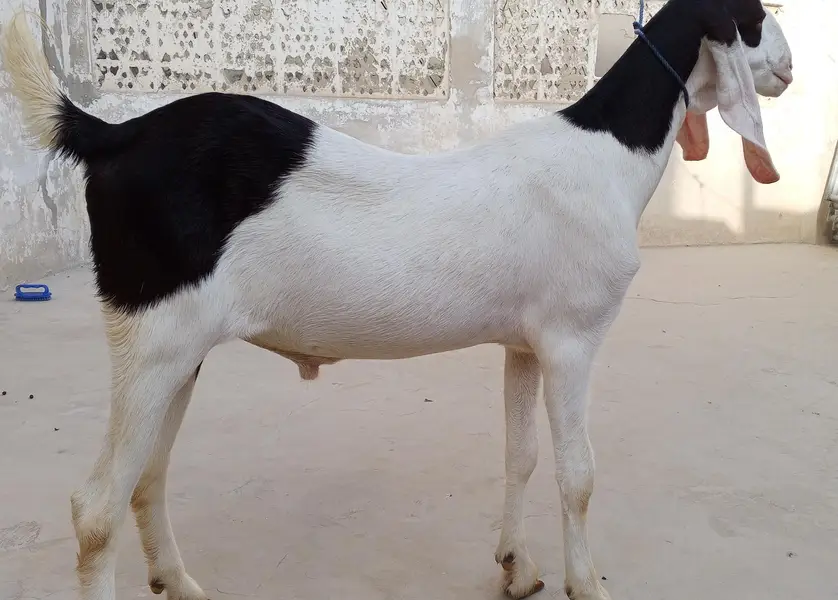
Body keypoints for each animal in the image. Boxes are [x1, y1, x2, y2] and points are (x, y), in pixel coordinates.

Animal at [1, 1, 793, 599]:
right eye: (755, 17)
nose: (789, 68)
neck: (606, 151)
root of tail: (111, 134)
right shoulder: (573, 339)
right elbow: (579, 475)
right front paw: (586, 585)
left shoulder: (524, 343)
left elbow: (521, 456)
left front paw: (516, 568)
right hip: (152, 335)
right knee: (96, 507)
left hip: (178, 352)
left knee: (147, 477)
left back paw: (182, 584)